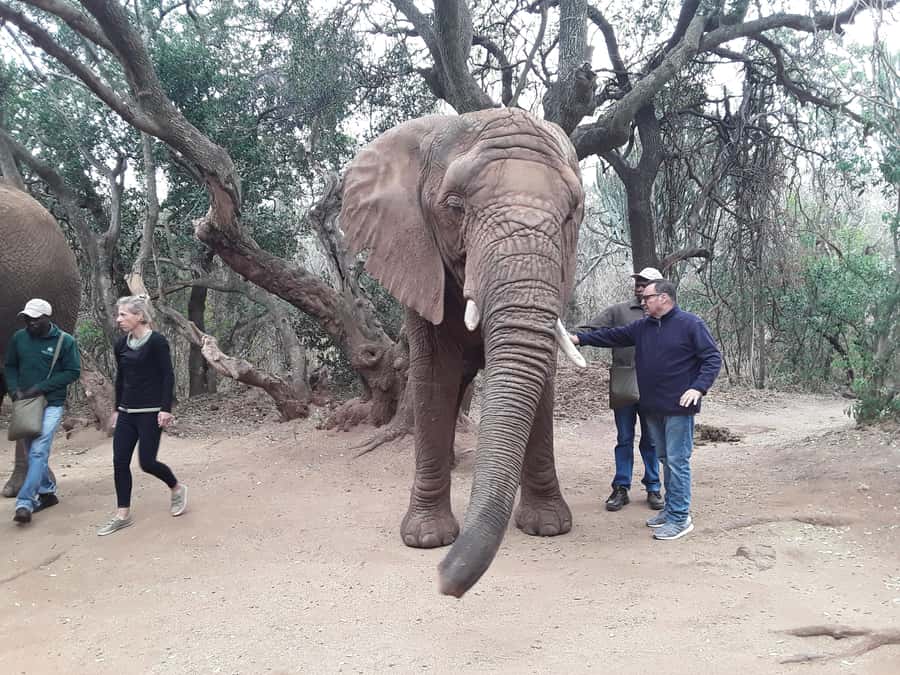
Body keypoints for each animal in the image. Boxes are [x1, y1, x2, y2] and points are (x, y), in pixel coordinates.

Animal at [340, 108, 586, 597]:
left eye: (572, 213)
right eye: (454, 207)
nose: (444, 583)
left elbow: (542, 377)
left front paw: (548, 528)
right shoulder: (417, 258)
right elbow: (435, 375)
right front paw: (426, 540)